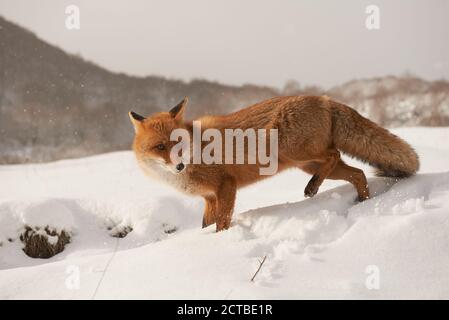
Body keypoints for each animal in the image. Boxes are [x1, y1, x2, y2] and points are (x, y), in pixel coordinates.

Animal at [128, 96, 418, 231]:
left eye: (178, 142)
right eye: (160, 147)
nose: (179, 166)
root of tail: (324, 98)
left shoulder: (226, 185)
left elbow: (222, 224)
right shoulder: (209, 198)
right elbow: (206, 225)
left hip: (297, 152)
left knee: (334, 154)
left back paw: (313, 189)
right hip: (308, 163)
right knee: (358, 173)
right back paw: (362, 203)